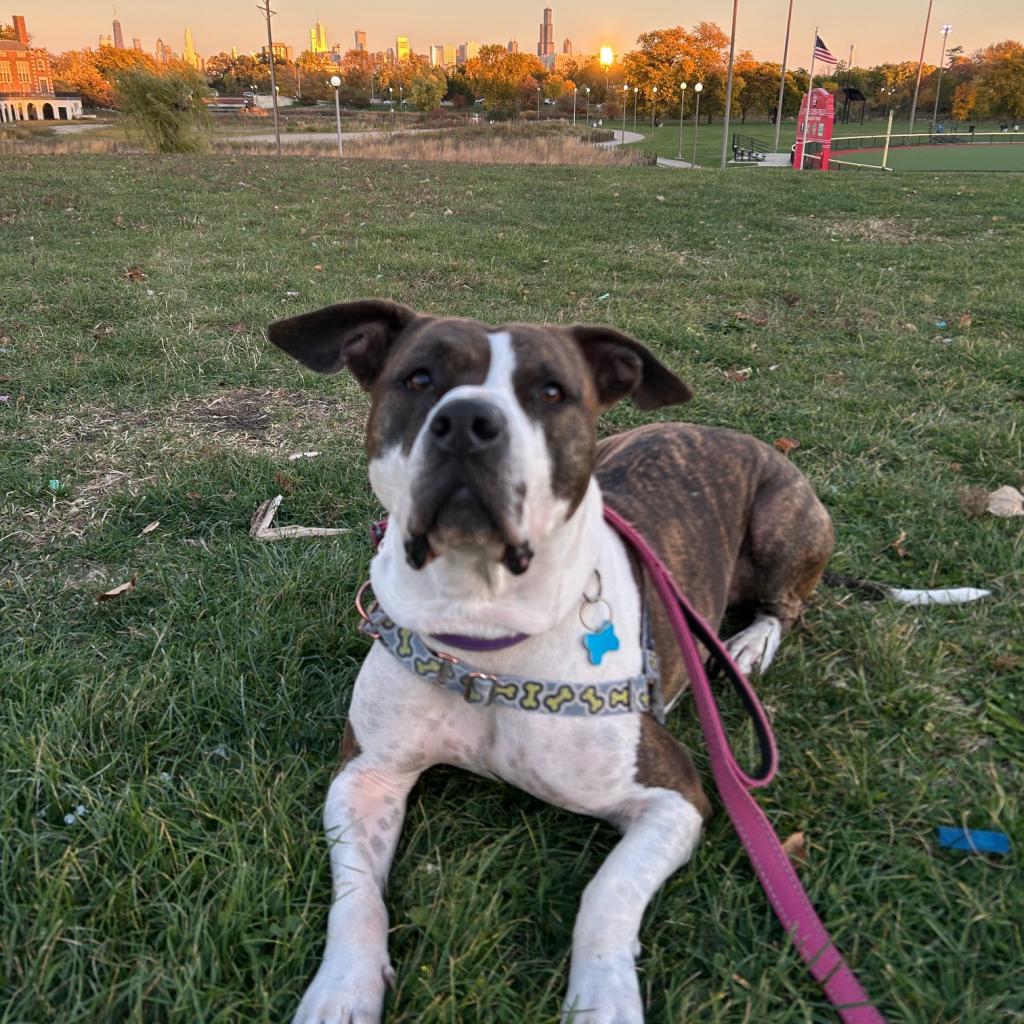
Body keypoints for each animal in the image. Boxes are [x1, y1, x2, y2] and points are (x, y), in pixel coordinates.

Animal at [268, 301, 835, 1024]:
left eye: (551, 392)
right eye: (419, 378)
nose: (467, 423)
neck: (483, 640)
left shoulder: (675, 796)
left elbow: (606, 895)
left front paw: (605, 998)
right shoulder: (366, 776)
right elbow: (355, 898)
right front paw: (342, 989)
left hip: (783, 519)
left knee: (788, 606)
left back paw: (748, 644)